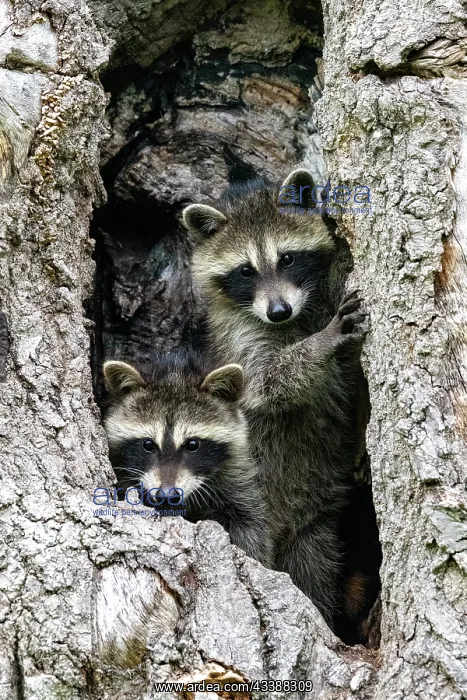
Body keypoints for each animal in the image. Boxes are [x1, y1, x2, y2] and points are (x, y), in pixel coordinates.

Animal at [183, 169, 366, 623]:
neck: (291, 321)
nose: (278, 310)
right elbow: (268, 385)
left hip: (314, 520)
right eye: (245, 271)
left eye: (287, 259)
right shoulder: (240, 339)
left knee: (315, 561)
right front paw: (321, 343)